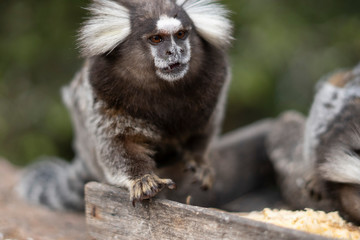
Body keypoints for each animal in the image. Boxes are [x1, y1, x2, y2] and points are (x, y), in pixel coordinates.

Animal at [18, 0, 233, 210]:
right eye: (157, 39)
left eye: (180, 35)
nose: (175, 51)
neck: (165, 88)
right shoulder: (103, 94)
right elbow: (118, 143)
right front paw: (142, 180)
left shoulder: (213, 87)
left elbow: (203, 131)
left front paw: (198, 161)